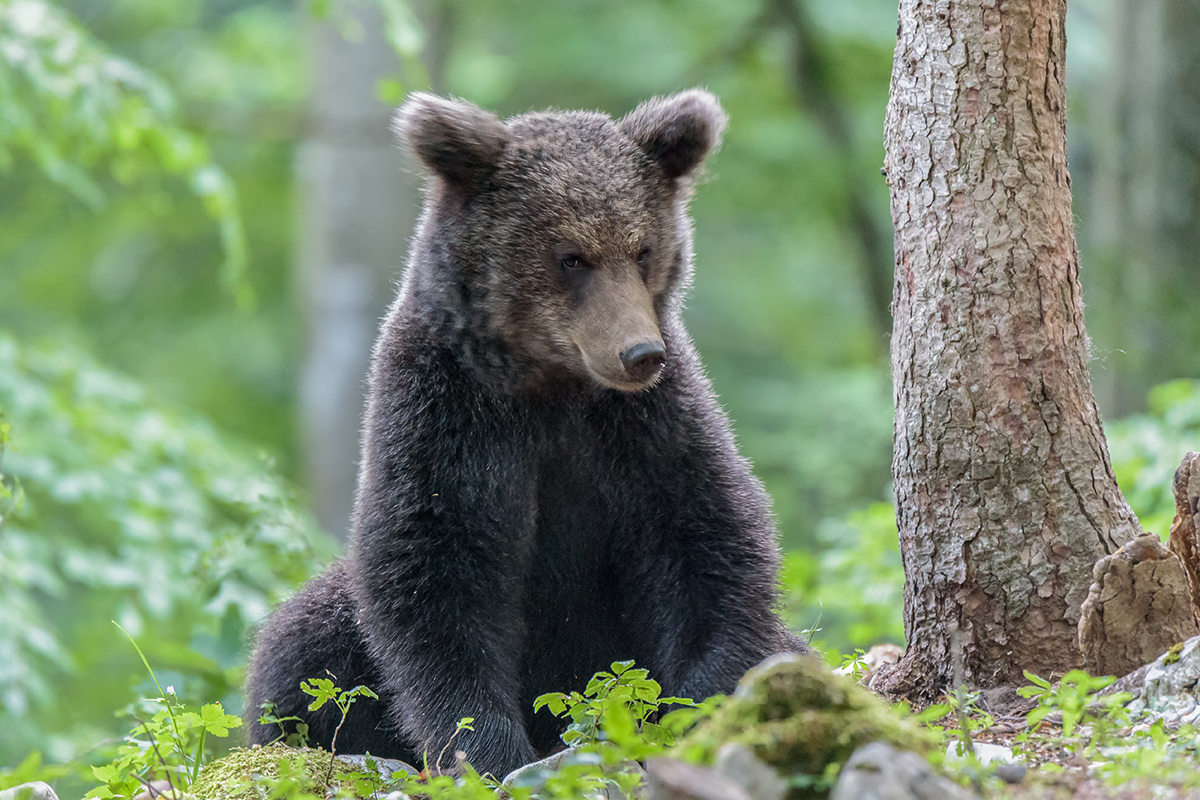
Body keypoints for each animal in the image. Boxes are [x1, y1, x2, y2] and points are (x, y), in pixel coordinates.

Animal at [244, 89, 805, 779]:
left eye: (642, 249)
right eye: (572, 257)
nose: (640, 354)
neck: (548, 384)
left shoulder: (646, 426)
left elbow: (702, 537)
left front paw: (696, 706)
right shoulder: (447, 414)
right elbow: (434, 568)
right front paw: (487, 750)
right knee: (301, 646)